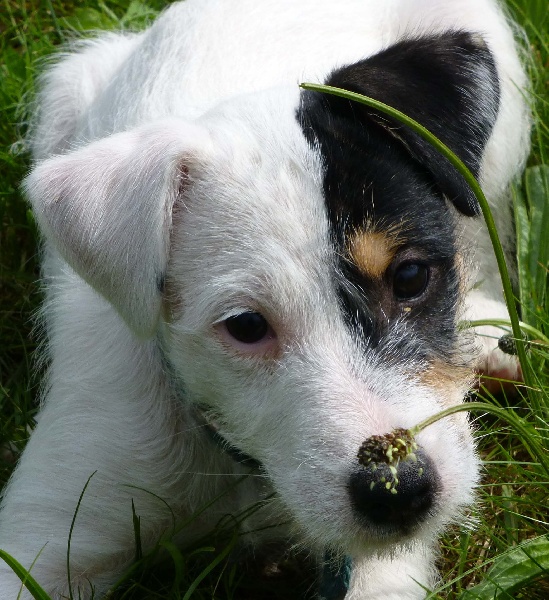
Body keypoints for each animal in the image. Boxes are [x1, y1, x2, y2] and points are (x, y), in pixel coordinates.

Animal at [0, 0, 532, 596]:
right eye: (247, 326)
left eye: (412, 276)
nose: (400, 489)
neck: (242, 463)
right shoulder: (52, 531)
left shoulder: (380, 566)